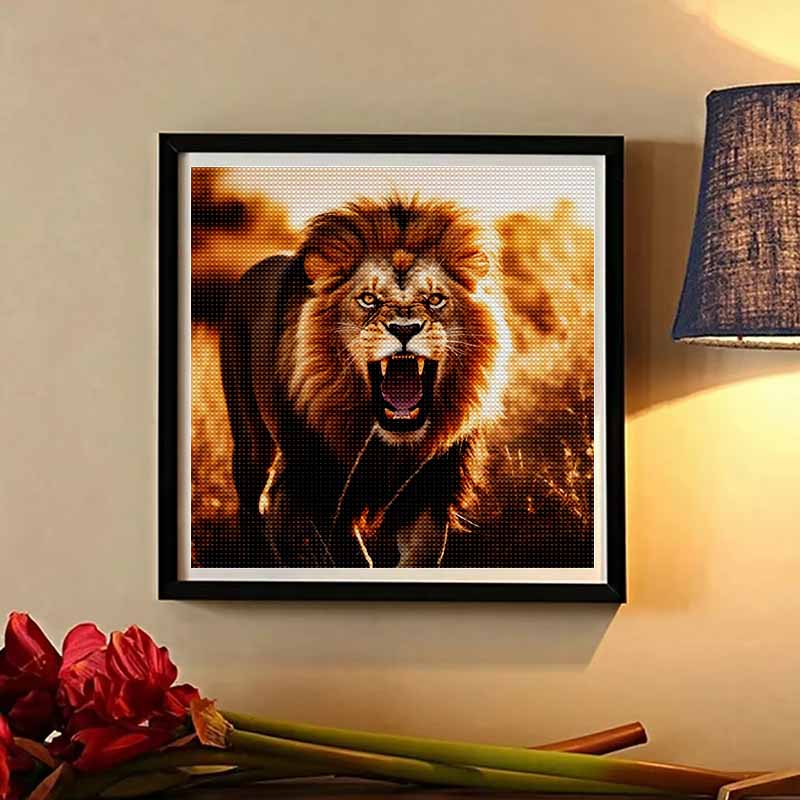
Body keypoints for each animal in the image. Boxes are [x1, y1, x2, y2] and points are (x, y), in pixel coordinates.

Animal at [220, 195, 510, 567]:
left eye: (435, 299)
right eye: (368, 299)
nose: (404, 329)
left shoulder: (430, 486)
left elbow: (423, 555)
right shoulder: (319, 488)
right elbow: (347, 556)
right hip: (252, 440)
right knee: (252, 502)